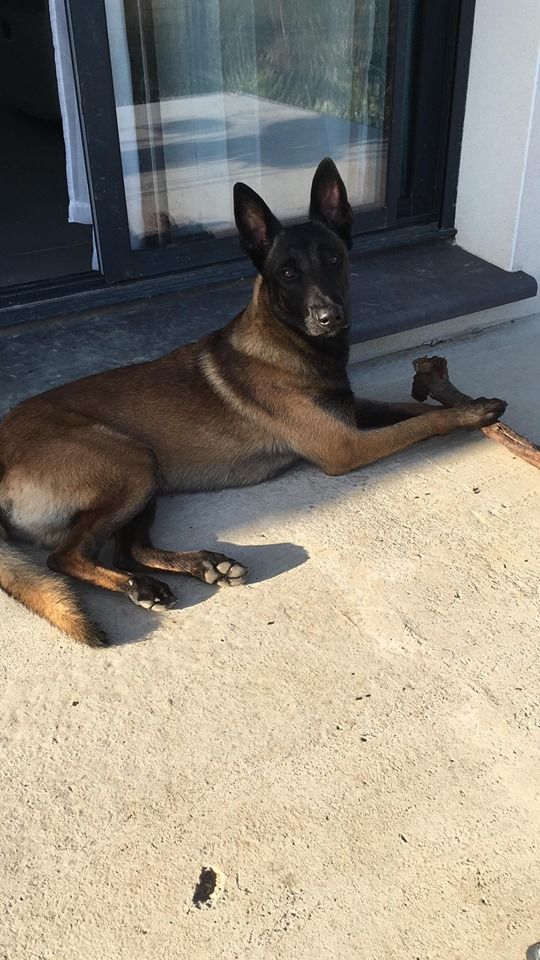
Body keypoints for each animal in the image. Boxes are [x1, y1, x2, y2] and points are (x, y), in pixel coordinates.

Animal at [0, 161, 506, 644]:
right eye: (287, 273)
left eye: (334, 258)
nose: (329, 317)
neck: (290, 340)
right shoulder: (345, 447)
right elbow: (418, 425)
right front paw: (471, 413)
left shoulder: (347, 410)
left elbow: (416, 410)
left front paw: (461, 403)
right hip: (131, 461)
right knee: (64, 557)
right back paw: (138, 586)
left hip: (146, 476)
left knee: (129, 549)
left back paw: (202, 566)